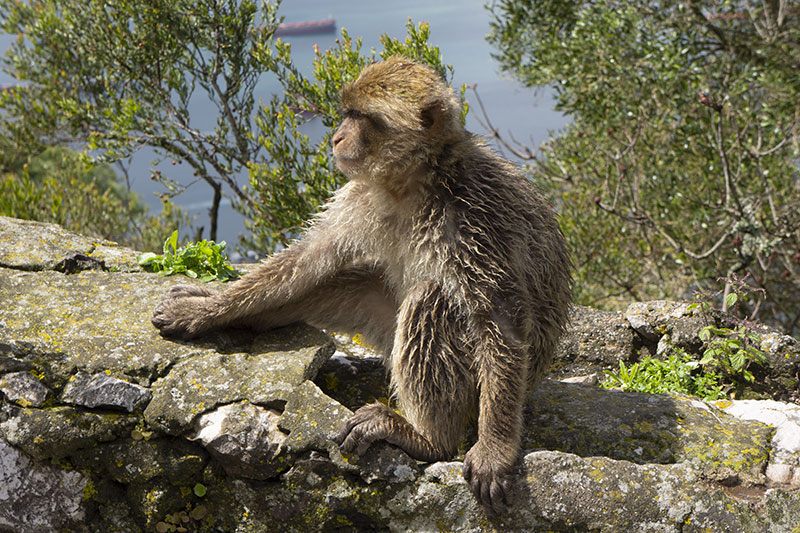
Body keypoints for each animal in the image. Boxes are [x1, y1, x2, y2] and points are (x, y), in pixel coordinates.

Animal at [152, 56, 576, 512]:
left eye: (360, 117)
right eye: (347, 113)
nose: (337, 136)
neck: (417, 182)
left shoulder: (474, 220)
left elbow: (500, 320)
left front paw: (495, 448)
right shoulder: (361, 195)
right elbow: (309, 258)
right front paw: (205, 309)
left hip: (471, 393)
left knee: (432, 298)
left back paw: (427, 438)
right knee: (348, 285)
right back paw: (251, 318)